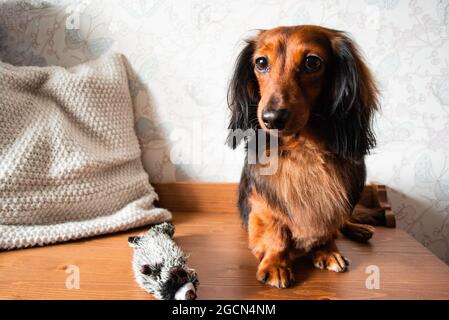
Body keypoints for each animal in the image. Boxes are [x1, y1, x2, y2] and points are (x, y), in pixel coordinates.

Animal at [228, 26, 378, 288]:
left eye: (312, 62)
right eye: (261, 62)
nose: (272, 118)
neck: (303, 149)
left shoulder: (331, 200)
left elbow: (328, 226)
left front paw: (327, 250)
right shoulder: (263, 204)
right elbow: (275, 231)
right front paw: (276, 263)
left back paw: (359, 229)